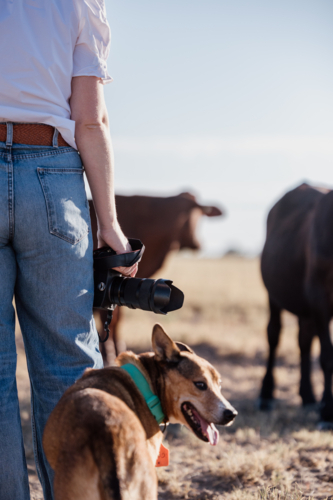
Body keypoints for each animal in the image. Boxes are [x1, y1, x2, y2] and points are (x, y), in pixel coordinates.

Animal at [89, 190, 222, 364]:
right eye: (185, 215)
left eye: (199, 214)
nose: (197, 243)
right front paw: (110, 356)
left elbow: (115, 321)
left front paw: (118, 351)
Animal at [260, 182, 332, 424]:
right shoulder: (320, 298)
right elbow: (327, 356)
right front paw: (327, 411)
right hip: (273, 295)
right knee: (273, 335)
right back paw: (266, 395)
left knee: (304, 340)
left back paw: (308, 395)